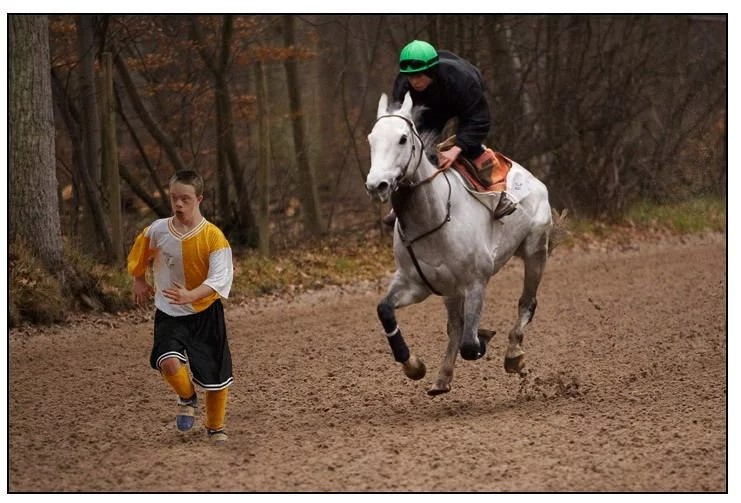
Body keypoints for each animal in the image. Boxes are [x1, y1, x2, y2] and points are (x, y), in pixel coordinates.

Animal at [364, 92, 556, 396]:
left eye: (403, 139)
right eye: (371, 138)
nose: (377, 185)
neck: (432, 217)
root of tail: (533, 178)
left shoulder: (475, 282)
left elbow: (469, 344)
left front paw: (483, 338)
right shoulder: (415, 284)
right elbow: (385, 310)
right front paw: (414, 365)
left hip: (536, 251)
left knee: (527, 302)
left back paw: (513, 354)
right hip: (449, 289)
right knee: (455, 325)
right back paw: (442, 378)